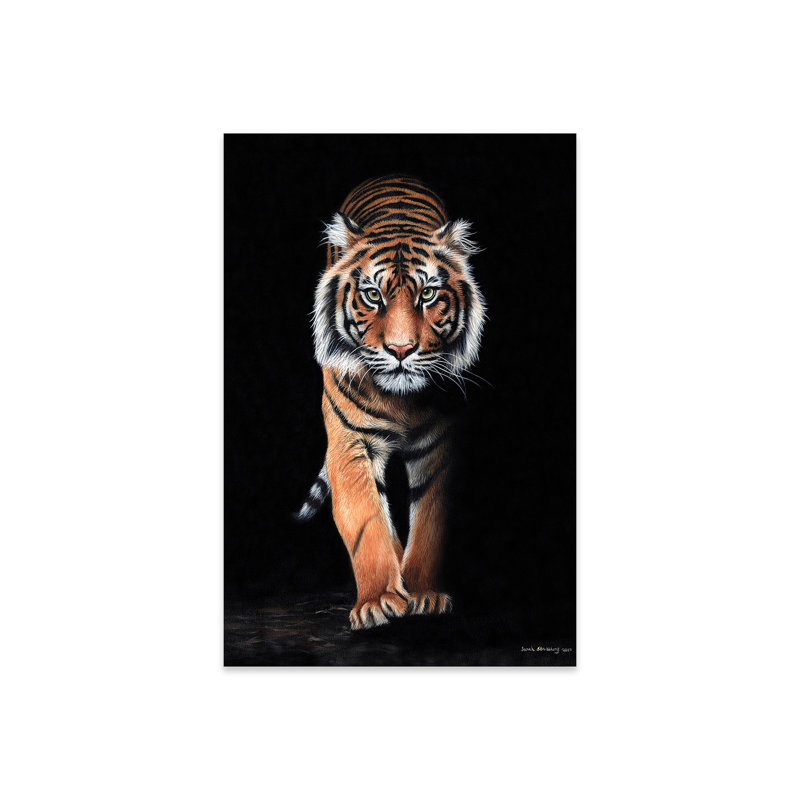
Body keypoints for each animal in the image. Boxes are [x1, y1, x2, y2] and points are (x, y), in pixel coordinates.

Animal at [295, 175, 486, 630]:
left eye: (429, 294)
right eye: (372, 295)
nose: (401, 350)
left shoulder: (441, 443)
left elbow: (431, 520)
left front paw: (423, 594)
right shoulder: (349, 444)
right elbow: (365, 521)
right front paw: (379, 601)